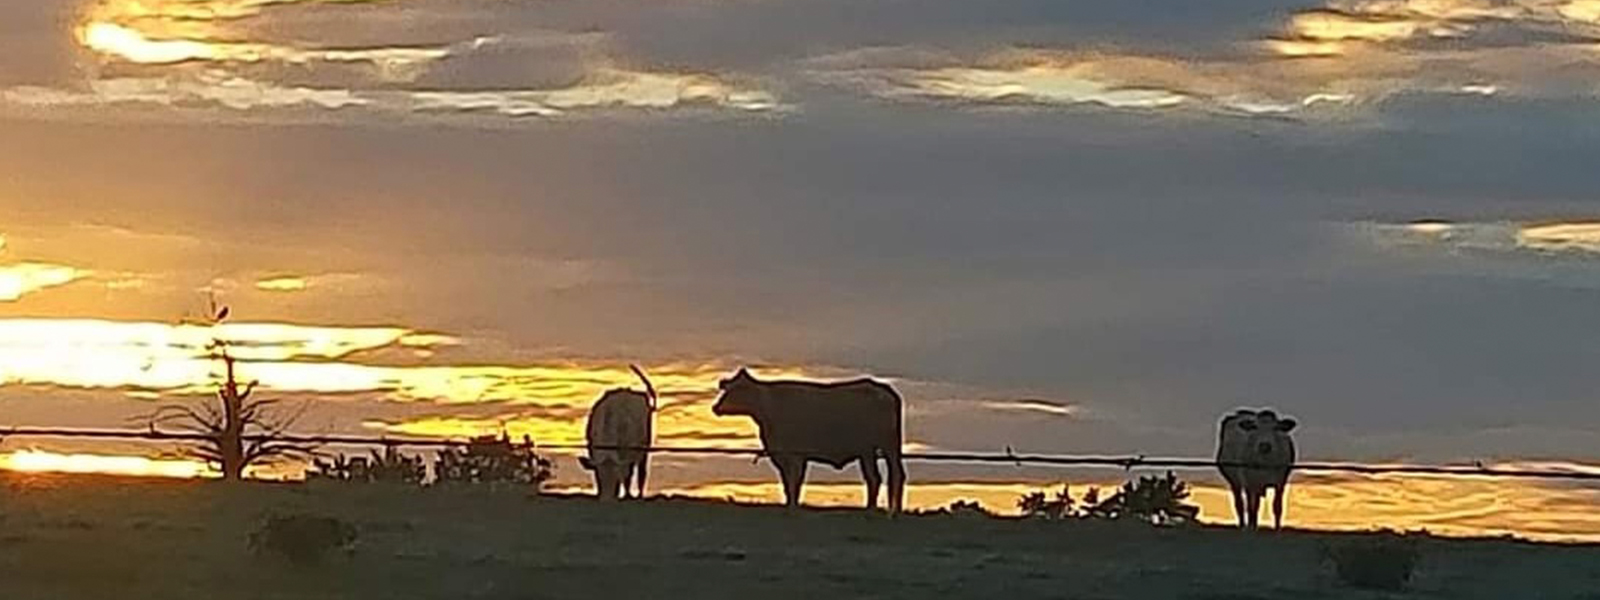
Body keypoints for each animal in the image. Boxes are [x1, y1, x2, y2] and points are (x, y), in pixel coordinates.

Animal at [582, 366, 656, 502]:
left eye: (615, 478)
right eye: (599, 476)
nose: (607, 499)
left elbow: (626, 476)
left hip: (645, 448)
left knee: (641, 474)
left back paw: (638, 496)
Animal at [710, 369, 902, 515]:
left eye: (734, 390)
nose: (715, 407)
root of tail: (885, 390)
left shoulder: (796, 455)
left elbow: (794, 481)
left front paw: (793, 506)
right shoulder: (781, 456)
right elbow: (787, 483)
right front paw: (789, 504)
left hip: (884, 447)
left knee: (888, 476)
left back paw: (884, 511)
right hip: (869, 451)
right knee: (880, 477)